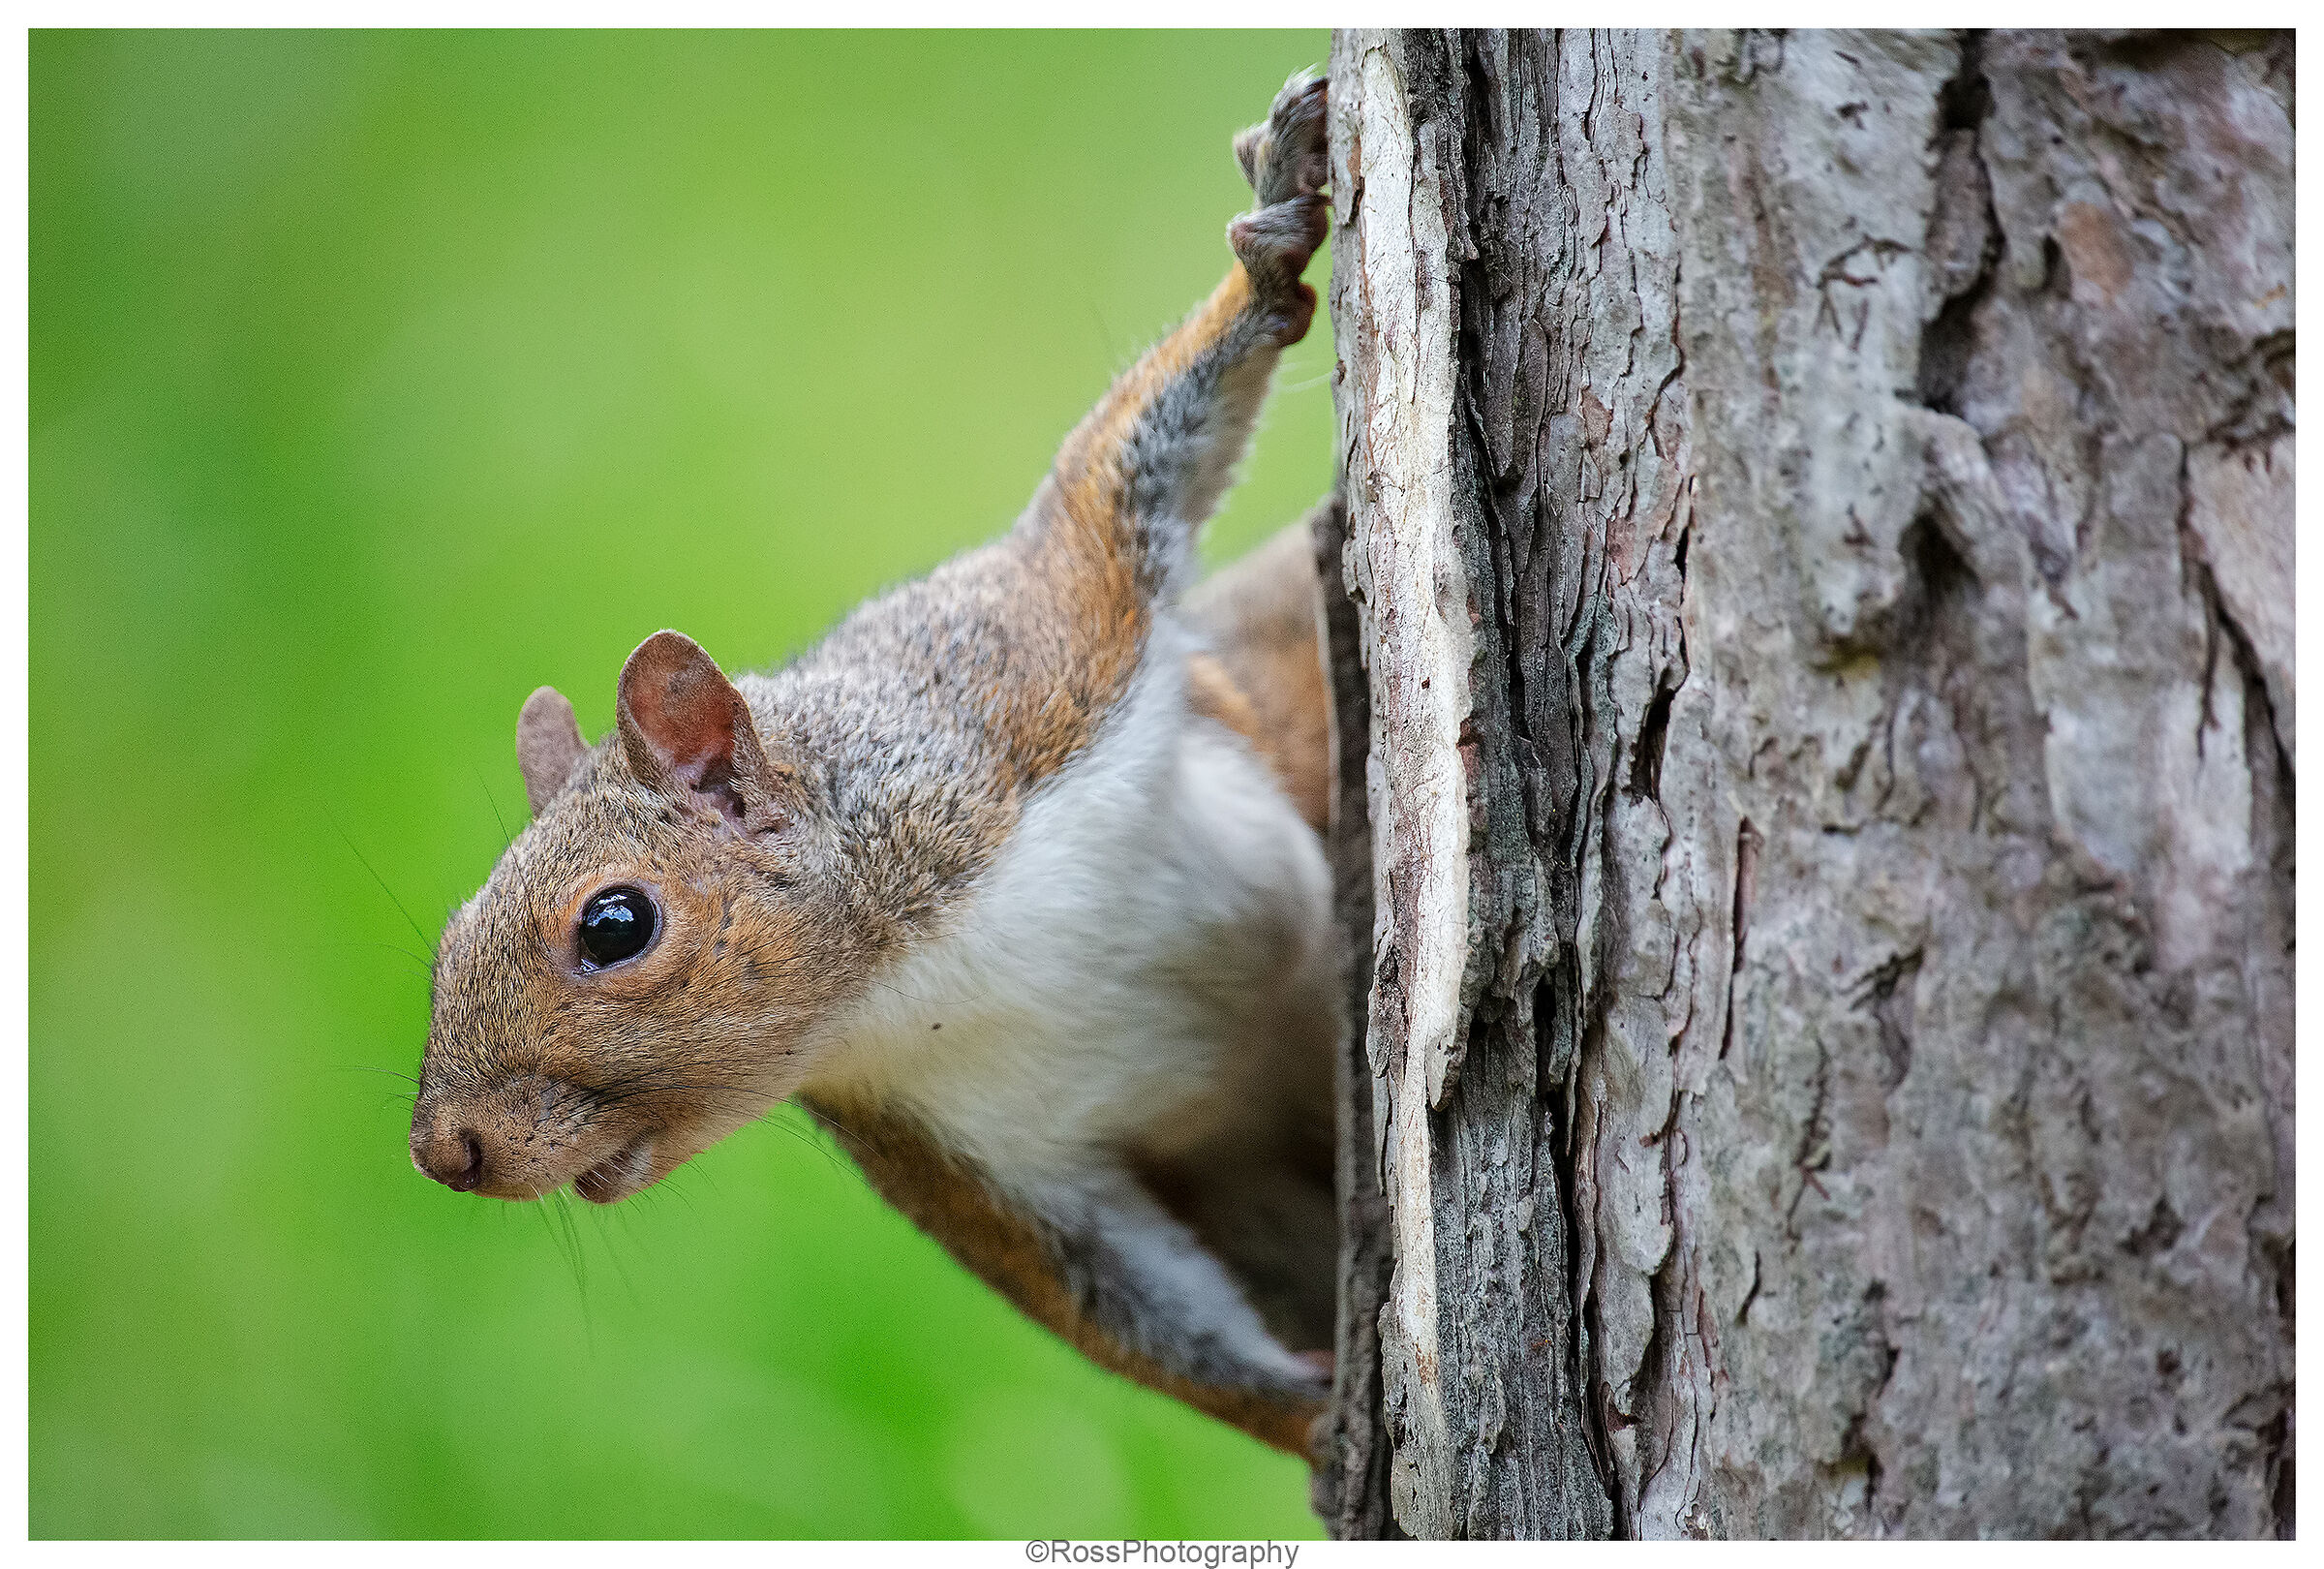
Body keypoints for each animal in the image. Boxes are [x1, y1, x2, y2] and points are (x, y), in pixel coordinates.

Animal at [411, 73, 1340, 1460]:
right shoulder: (969, 1162)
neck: (903, 976)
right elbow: (1116, 1305)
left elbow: (1122, 475)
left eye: (616, 925)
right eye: (447, 938)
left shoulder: (1034, 663)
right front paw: (1326, 1419)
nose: (445, 1152)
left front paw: (1267, 247)